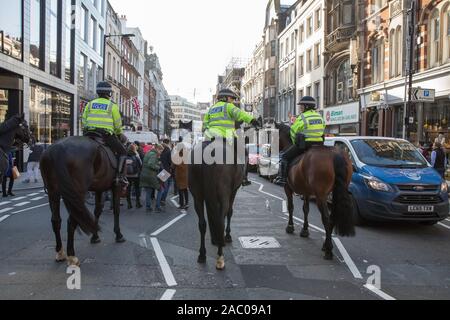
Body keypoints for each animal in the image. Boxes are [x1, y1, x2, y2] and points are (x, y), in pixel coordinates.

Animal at [40, 134, 125, 266]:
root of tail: (58, 149)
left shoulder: (99, 189)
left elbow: (97, 210)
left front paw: (95, 236)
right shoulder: (116, 187)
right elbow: (116, 209)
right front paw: (118, 234)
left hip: (53, 191)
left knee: (56, 220)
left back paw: (60, 253)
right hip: (77, 193)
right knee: (71, 222)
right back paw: (71, 256)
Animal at [189, 138, 248, 270]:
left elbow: (211, 216)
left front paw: (214, 239)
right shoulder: (233, 192)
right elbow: (230, 213)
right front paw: (227, 236)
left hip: (197, 196)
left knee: (202, 223)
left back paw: (202, 254)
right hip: (223, 195)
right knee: (221, 221)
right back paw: (220, 257)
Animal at [274, 122, 356, 260]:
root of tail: (335, 155)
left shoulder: (288, 188)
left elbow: (290, 207)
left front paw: (290, 227)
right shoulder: (306, 191)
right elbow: (305, 209)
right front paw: (305, 230)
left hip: (321, 195)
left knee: (326, 218)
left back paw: (328, 250)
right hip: (334, 192)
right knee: (332, 216)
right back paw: (326, 245)